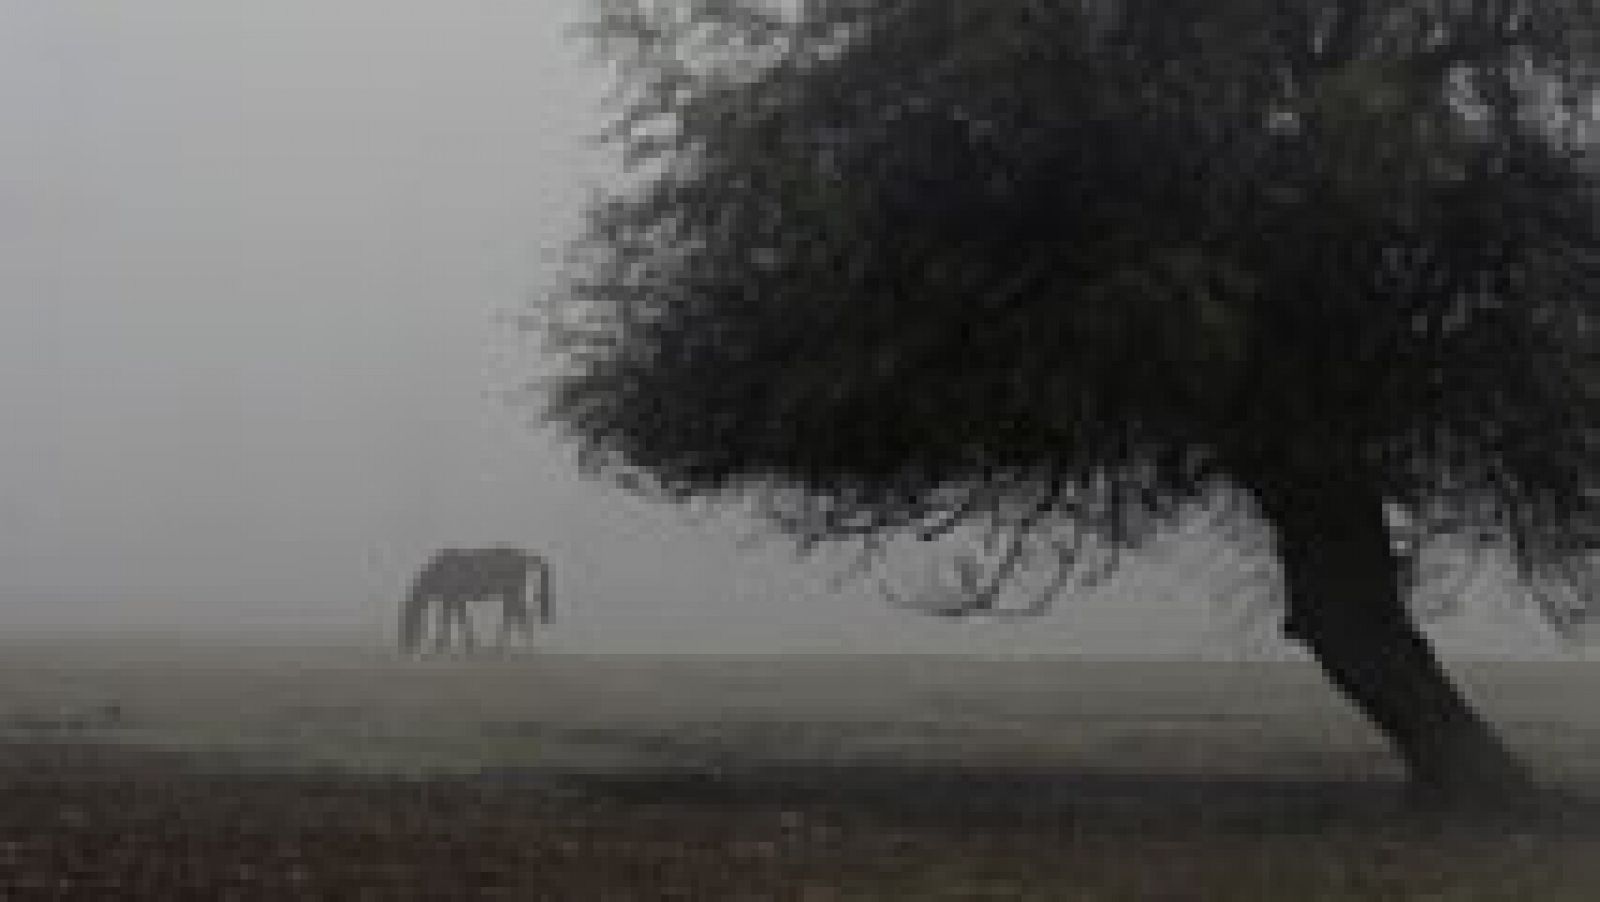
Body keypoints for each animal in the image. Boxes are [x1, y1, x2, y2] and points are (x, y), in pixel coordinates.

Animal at [396, 546, 553, 652]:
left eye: (407, 619)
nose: (405, 646)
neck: (439, 573)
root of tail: (524, 556)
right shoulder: (457, 601)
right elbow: (461, 622)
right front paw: (466, 645)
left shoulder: (450, 600)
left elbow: (447, 623)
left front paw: (442, 646)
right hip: (511, 596)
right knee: (518, 617)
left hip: (511, 594)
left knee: (522, 616)